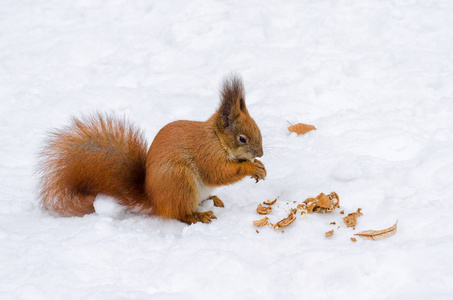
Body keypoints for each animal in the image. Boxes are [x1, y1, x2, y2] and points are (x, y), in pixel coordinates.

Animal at [38, 75, 266, 223]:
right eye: (242, 138)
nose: (260, 153)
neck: (217, 139)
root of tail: (154, 201)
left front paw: (260, 166)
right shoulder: (207, 153)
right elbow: (220, 172)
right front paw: (251, 168)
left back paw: (213, 199)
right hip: (179, 181)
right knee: (180, 214)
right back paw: (198, 215)